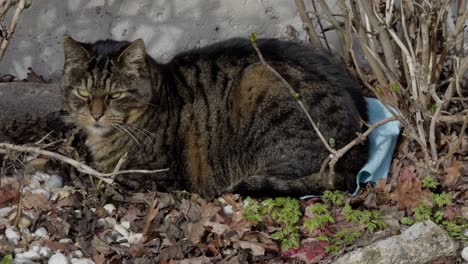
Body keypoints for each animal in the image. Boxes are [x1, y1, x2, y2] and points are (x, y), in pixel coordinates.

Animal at [62, 35, 368, 198]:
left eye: (115, 94)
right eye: (82, 92)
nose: (96, 114)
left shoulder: (155, 177)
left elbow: (112, 178)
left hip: (260, 81)